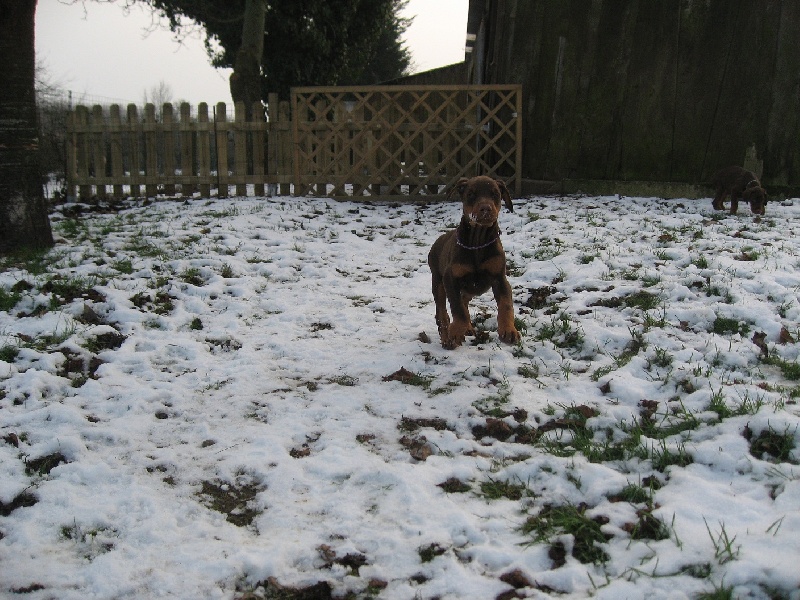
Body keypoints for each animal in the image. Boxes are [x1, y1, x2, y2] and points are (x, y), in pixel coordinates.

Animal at [427, 176, 520, 349]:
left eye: (495, 194)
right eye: (471, 194)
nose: (485, 209)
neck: (478, 241)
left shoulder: (500, 278)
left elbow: (506, 304)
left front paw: (509, 330)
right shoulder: (450, 279)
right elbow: (457, 307)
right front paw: (456, 331)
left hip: (470, 289)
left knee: (464, 299)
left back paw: (468, 327)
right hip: (437, 281)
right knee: (442, 311)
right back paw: (447, 336)